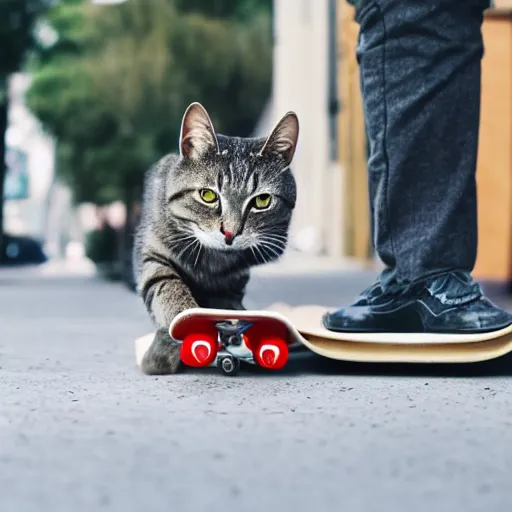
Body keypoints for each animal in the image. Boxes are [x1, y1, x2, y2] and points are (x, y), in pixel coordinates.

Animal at [132, 103, 300, 376]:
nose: (230, 233)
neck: (213, 261)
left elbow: (229, 312)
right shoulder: (153, 256)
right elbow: (169, 291)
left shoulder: (232, 286)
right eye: (208, 195)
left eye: (262, 200)